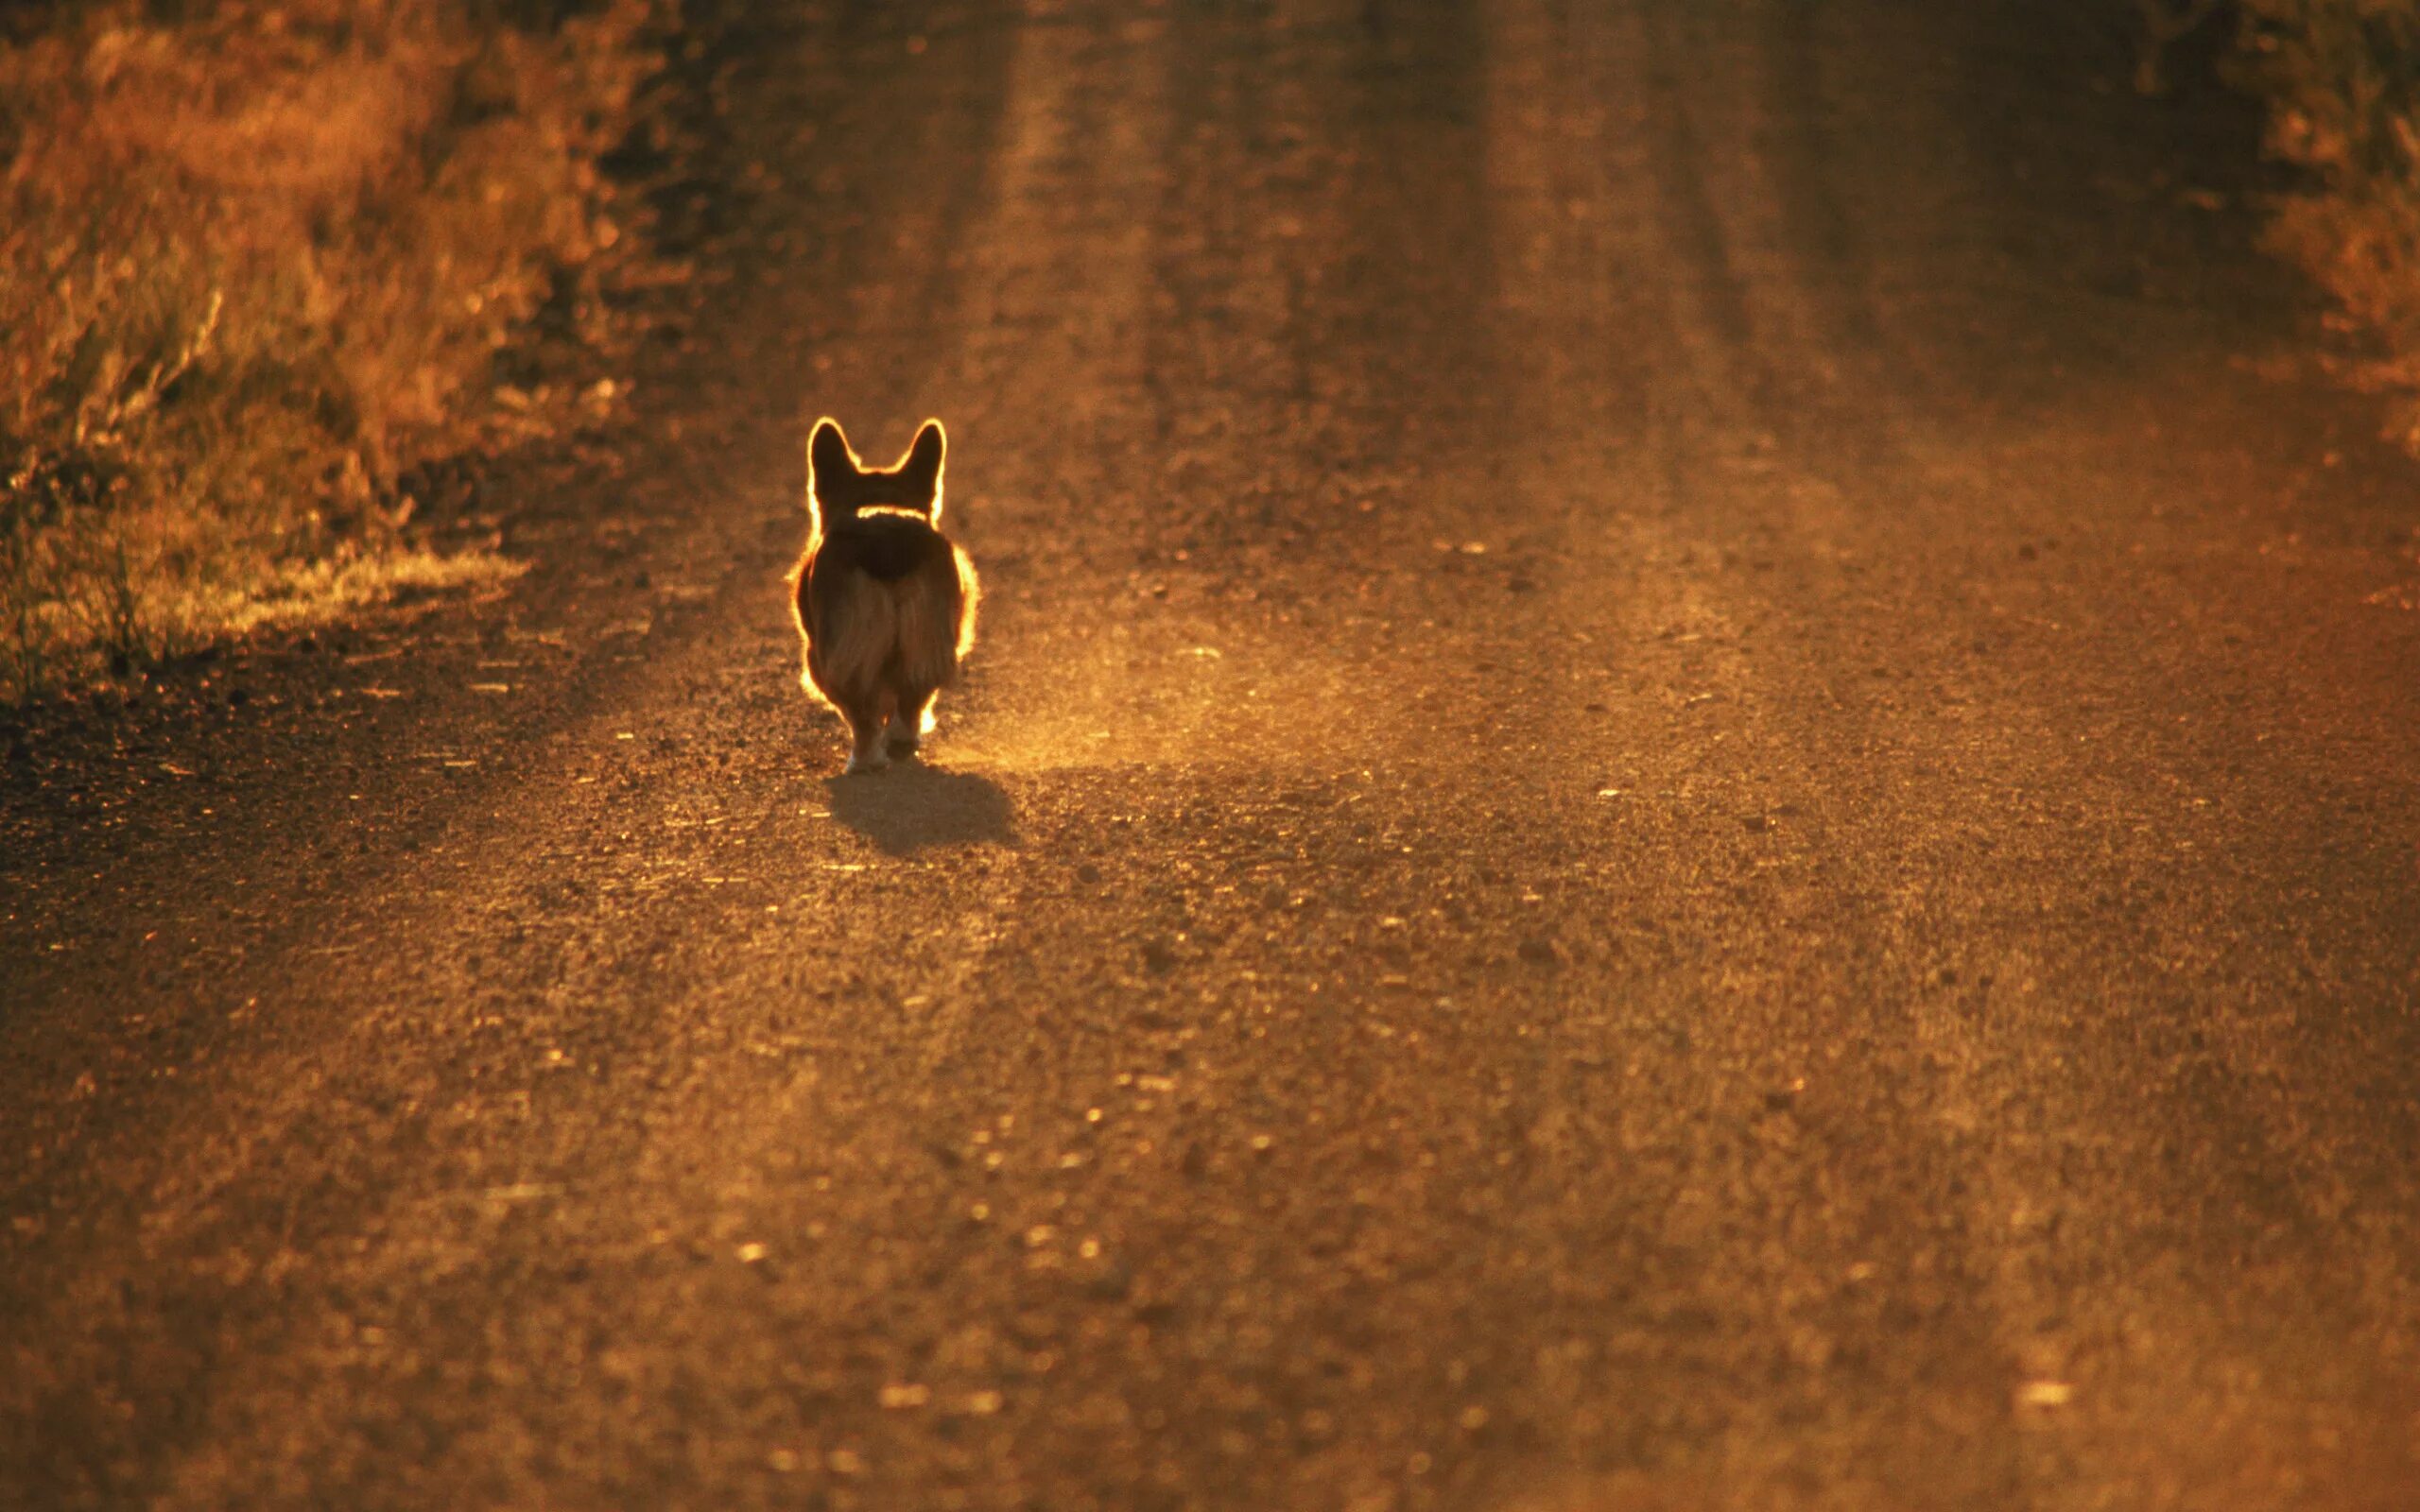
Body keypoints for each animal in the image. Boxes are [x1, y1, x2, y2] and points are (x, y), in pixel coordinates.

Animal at [793, 416, 982, 774]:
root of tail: (887, 543)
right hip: (927, 639)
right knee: (912, 698)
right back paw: (900, 744)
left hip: (833, 657)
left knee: (863, 715)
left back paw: (864, 761)